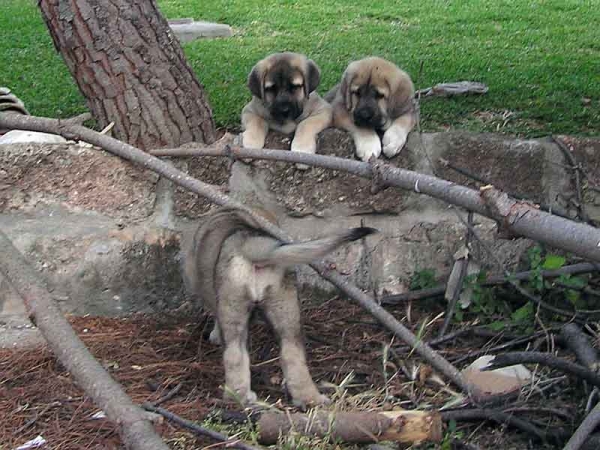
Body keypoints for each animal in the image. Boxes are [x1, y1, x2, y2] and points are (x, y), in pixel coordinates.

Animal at [182, 207, 376, 408]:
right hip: (286, 309)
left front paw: (214, 335)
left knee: (234, 354)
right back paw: (309, 399)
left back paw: (238, 398)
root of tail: (251, 244)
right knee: (292, 354)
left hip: (233, 307)